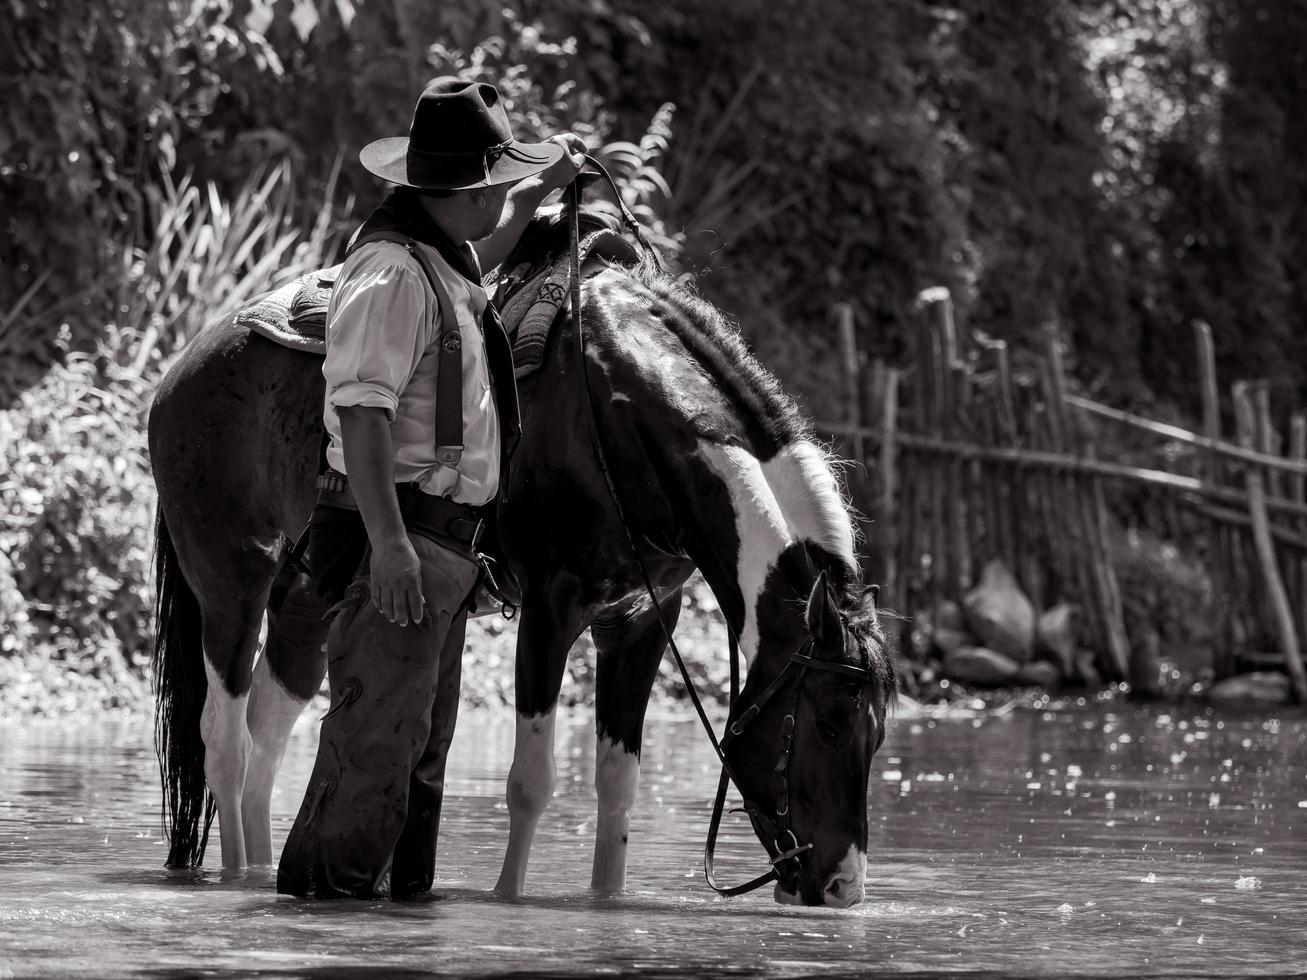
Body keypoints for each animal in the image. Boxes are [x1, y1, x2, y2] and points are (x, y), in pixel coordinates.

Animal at [148, 205, 893, 904]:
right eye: (829, 725)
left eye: (878, 734)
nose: (842, 887)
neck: (617, 420)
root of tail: (186, 364)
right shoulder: (549, 607)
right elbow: (530, 782)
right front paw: (509, 899)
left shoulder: (642, 619)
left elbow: (617, 785)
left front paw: (605, 901)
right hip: (231, 577)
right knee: (225, 739)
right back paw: (236, 875)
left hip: (309, 595)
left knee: (267, 731)